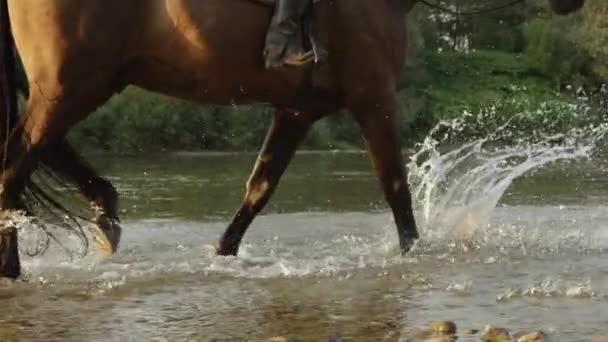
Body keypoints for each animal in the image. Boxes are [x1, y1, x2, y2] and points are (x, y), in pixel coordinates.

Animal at [0, 0, 588, 278]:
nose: (571, 6)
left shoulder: (297, 110)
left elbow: (259, 189)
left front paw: (222, 254)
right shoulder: (374, 99)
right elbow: (396, 187)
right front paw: (413, 254)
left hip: (81, 83)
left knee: (33, 153)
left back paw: (105, 218)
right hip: (72, 85)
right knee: (16, 165)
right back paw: (15, 265)